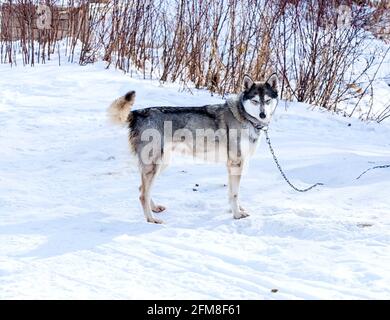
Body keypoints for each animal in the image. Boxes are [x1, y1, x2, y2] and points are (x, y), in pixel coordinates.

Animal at [106, 74, 278, 222]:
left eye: (267, 100)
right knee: (143, 195)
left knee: (142, 189)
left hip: (161, 164)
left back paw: (154, 209)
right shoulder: (235, 163)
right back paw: (151, 220)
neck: (244, 117)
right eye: (255, 101)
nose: (263, 115)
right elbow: (234, 194)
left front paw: (238, 209)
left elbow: (233, 192)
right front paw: (236, 214)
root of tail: (137, 113)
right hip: (154, 165)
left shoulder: (235, 165)